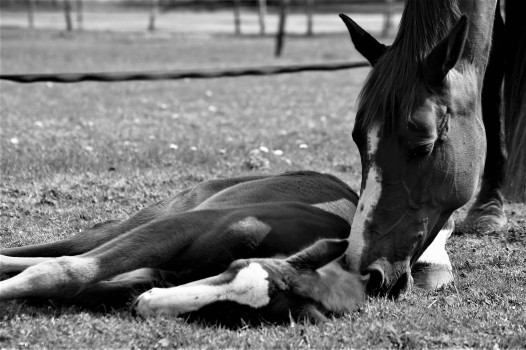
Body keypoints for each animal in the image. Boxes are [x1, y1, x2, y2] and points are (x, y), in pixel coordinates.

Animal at [1, 171, 368, 324]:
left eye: (234, 315)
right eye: (235, 267)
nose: (145, 305)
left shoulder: (154, 275)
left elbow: (79, 284)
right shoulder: (180, 228)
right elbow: (65, 271)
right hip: (168, 211)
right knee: (80, 244)